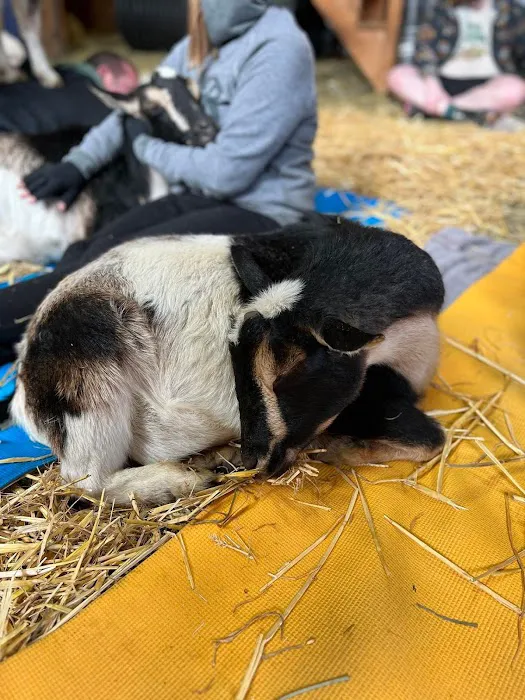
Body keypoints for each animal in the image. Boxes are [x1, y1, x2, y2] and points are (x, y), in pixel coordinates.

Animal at [11, 216, 446, 505]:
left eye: (290, 374)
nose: (255, 458)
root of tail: (23, 396)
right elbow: (432, 440)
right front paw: (338, 449)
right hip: (90, 384)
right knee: (85, 480)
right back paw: (184, 480)